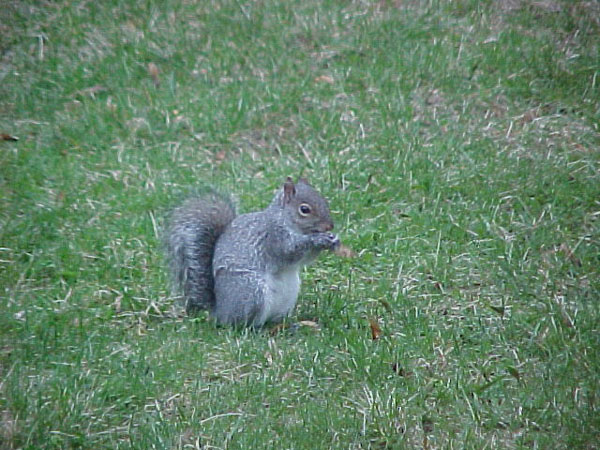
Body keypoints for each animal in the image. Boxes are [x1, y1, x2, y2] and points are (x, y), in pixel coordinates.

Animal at [166, 177, 340, 326]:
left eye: (324, 201)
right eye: (304, 209)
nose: (329, 226)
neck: (285, 220)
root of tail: (219, 311)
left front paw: (333, 239)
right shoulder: (274, 237)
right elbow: (290, 252)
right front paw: (318, 239)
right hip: (251, 290)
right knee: (240, 323)